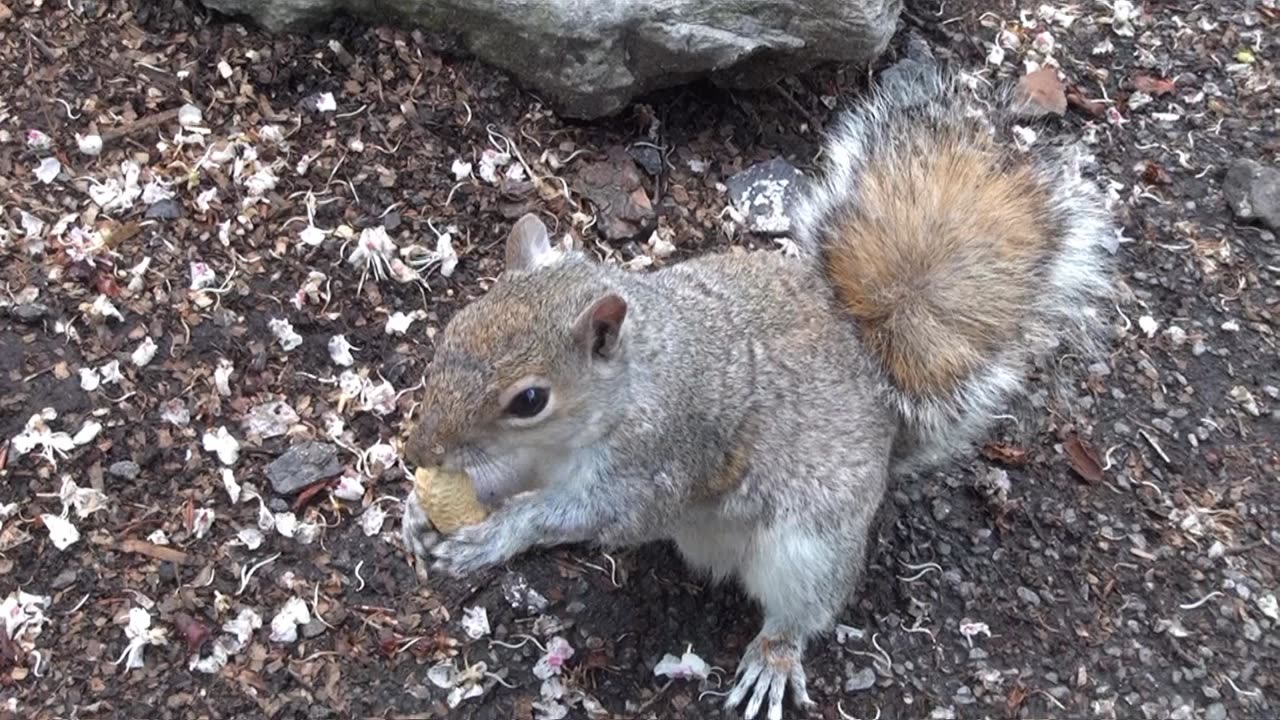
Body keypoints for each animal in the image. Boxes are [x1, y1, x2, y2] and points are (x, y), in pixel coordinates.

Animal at [401, 64, 1121, 712]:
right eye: (454, 330)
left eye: (529, 400)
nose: (417, 452)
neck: (622, 388)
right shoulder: (535, 457)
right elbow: (504, 476)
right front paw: (421, 511)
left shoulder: (658, 459)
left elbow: (588, 512)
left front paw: (494, 534)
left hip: (811, 547)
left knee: (803, 611)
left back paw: (773, 659)